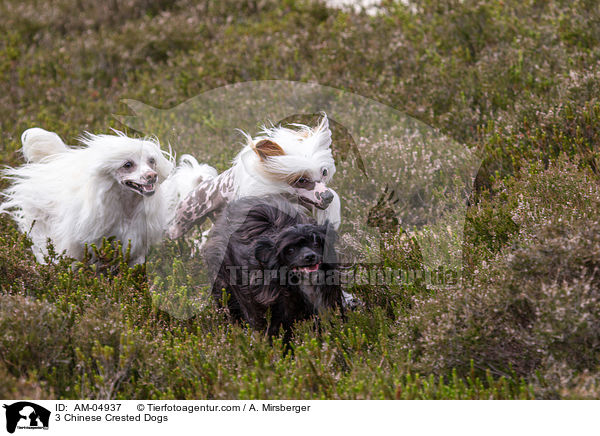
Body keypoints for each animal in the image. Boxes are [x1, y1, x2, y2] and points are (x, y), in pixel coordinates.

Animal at [0, 129, 216, 266]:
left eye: (151, 161)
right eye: (128, 164)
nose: (152, 176)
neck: (125, 206)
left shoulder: (135, 245)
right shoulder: (79, 246)